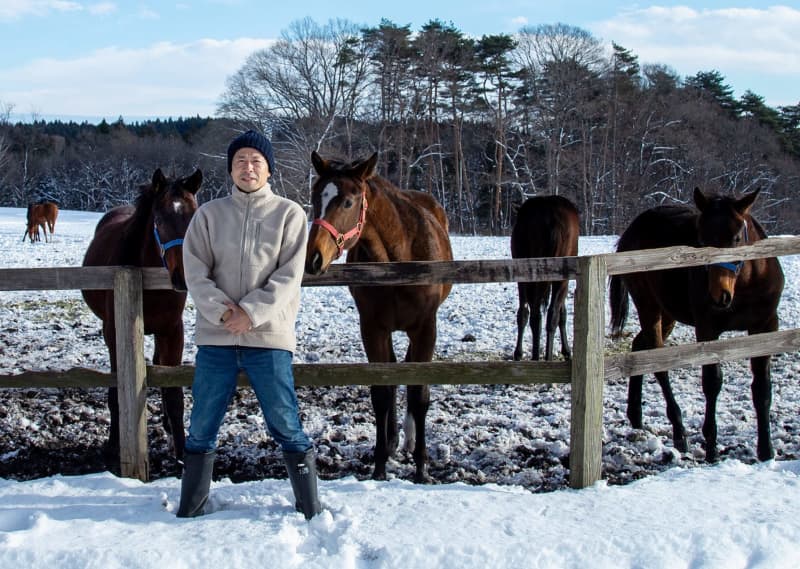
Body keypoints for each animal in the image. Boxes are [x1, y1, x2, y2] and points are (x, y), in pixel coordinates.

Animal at [82, 166, 203, 468]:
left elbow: (173, 392)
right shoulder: (114, 332)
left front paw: (182, 454)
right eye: (159, 219)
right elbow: (117, 389)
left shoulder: (172, 330)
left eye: (193, 215)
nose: (183, 276)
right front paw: (113, 446)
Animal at [304, 150, 454, 480]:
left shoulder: (426, 328)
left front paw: (421, 468)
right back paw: (394, 438)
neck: (398, 260)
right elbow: (381, 392)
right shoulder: (373, 329)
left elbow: (419, 393)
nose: (313, 259)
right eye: (315, 198)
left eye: (348, 202)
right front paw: (380, 465)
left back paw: (409, 439)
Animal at [512, 195, 576, 360]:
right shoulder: (563, 281)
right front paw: (566, 351)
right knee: (547, 316)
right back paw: (543, 358)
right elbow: (561, 314)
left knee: (528, 313)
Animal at [608, 186, 784, 462]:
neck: (745, 284)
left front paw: (766, 450)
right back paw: (679, 431)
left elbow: (762, 388)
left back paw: (635, 416)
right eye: (701, 240)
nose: (718, 295)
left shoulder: (765, 327)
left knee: (639, 347)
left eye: (736, 238)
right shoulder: (707, 329)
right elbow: (712, 383)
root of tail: (634, 228)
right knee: (658, 363)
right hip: (649, 307)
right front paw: (711, 448)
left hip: (668, 313)